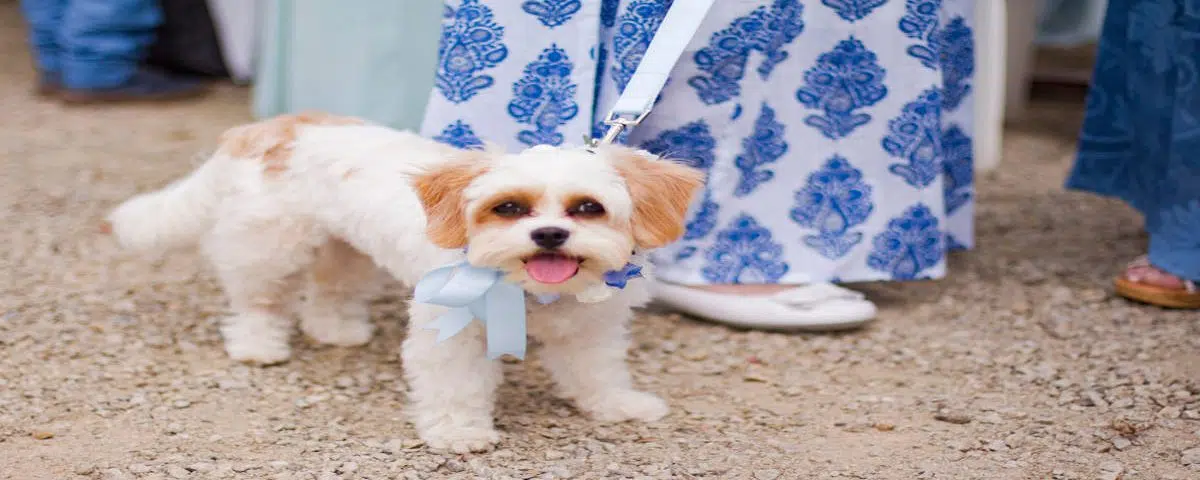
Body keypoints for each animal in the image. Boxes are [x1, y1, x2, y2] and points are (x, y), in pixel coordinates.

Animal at [105, 112, 700, 451]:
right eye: (509, 207)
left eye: (588, 208)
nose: (549, 233)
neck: (531, 289)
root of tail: (276, 124)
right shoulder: (449, 337)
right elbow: (456, 387)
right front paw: (459, 433)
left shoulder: (591, 330)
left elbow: (598, 372)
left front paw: (616, 405)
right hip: (270, 245)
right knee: (258, 300)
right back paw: (257, 343)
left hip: (348, 249)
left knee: (330, 291)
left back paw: (337, 330)